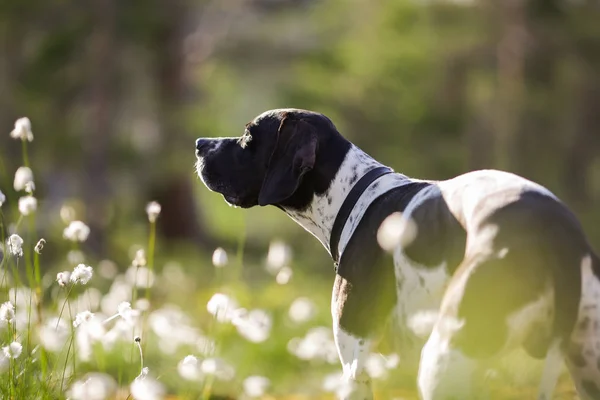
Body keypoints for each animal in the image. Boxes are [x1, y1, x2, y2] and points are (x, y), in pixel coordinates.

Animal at [196, 109, 600, 400]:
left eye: (250, 136)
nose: (199, 143)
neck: (352, 194)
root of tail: (559, 233)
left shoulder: (357, 365)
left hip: (443, 362)